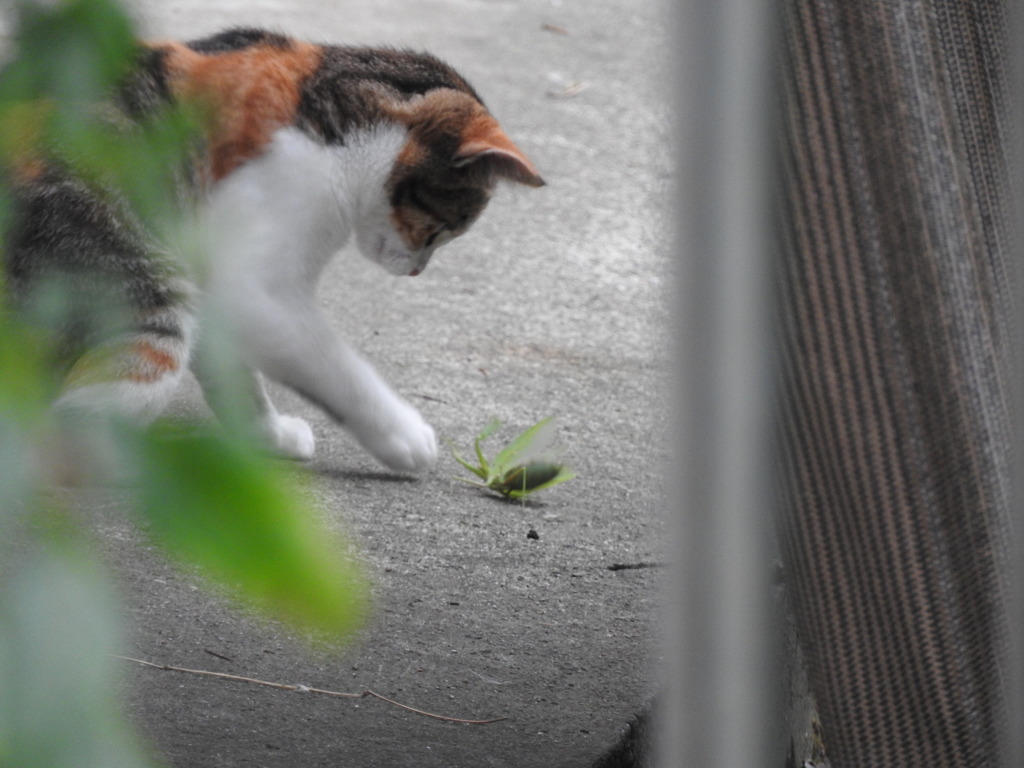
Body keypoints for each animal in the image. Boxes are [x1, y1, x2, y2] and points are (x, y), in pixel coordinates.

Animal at [4, 28, 548, 475]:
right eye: (443, 230)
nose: (416, 271)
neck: (333, 122)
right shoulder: (256, 288)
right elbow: (333, 366)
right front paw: (403, 436)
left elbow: (233, 369)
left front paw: (268, 435)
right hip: (141, 293)